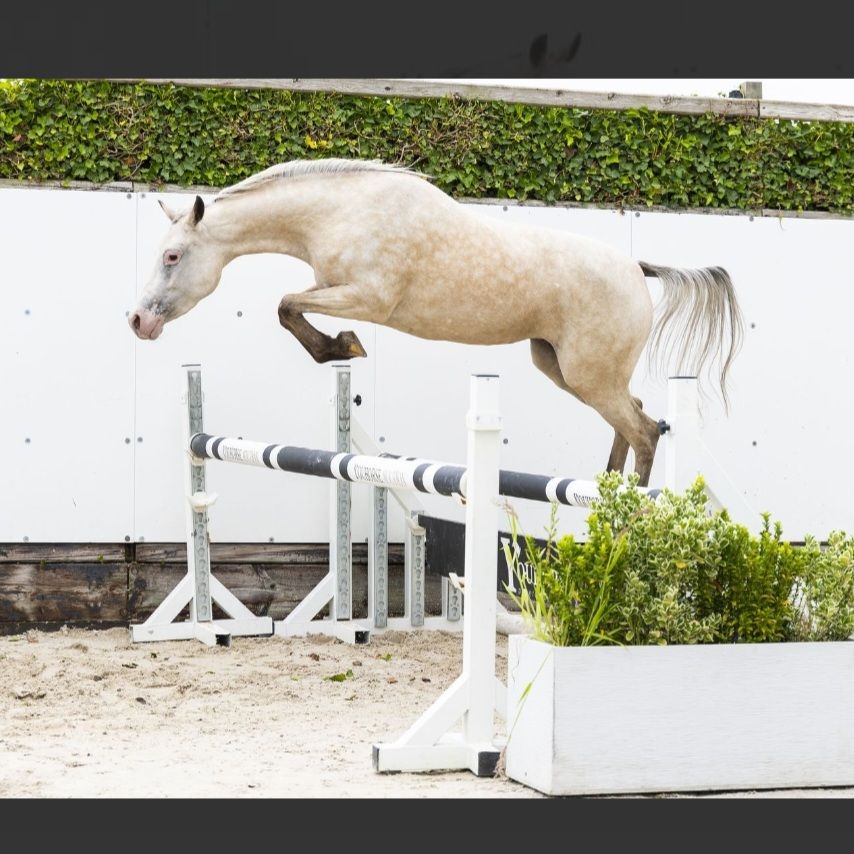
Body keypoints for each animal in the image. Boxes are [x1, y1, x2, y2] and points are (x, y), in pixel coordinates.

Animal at [129, 158, 743, 486]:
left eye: (173, 256)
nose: (136, 321)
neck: (339, 211)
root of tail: (637, 269)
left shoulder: (365, 299)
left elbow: (286, 305)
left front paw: (343, 347)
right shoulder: (339, 291)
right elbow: (287, 307)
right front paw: (340, 348)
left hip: (589, 374)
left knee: (644, 430)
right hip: (564, 368)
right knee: (633, 419)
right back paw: (604, 492)